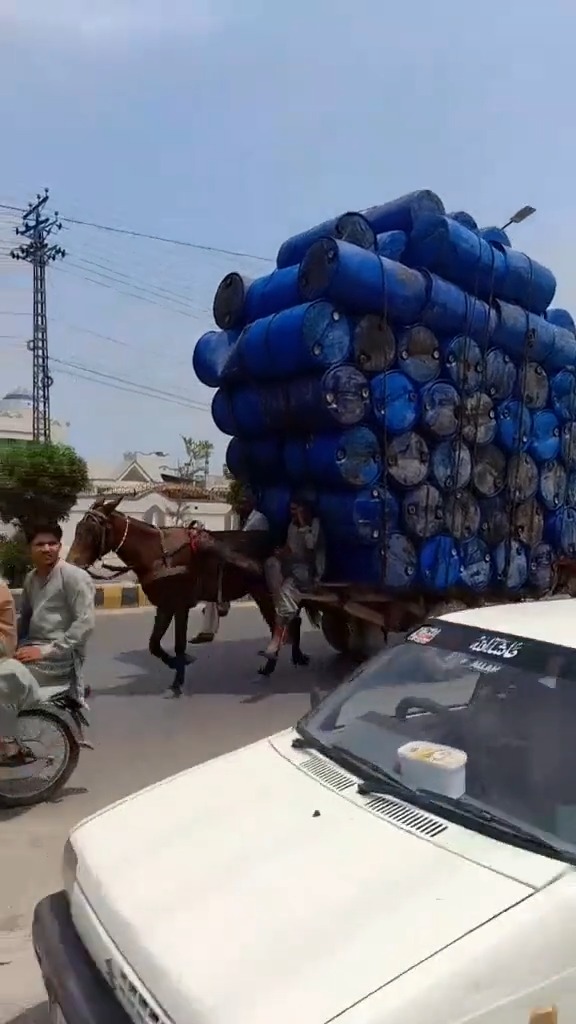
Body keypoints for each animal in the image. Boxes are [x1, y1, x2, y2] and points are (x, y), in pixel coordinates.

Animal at [66, 495, 309, 696]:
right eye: (77, 528)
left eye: (91, 531)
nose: (71, 563)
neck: (157, 554)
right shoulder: (164, 605)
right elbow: (154, 644)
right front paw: (176, 665)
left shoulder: (180, 604)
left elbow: (179, 644)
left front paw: (178, 680)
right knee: (288, 621)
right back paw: (289, 659)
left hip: (265, 592)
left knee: (283, 623)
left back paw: (277, 663)